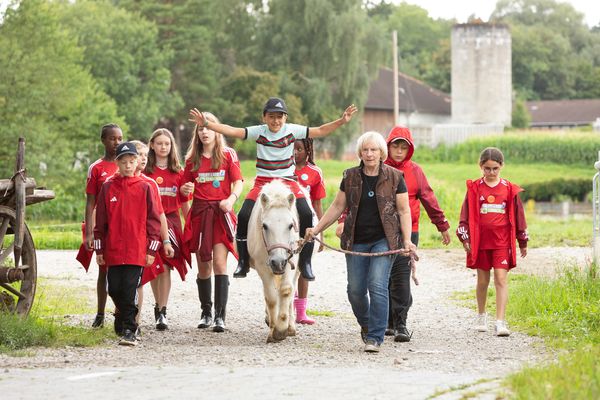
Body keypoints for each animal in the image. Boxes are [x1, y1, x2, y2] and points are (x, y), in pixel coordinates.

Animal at [246, 180, 300, 342]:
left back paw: (290, 326)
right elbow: (270, 297)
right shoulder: (263, 267)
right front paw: (274, 330)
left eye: (291, 225)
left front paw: (282, 328)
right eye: (264, 226)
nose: (278, 262)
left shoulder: (289, 261)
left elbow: (286, 290)